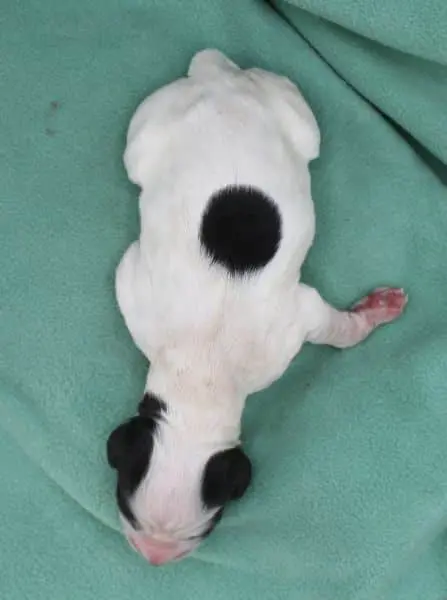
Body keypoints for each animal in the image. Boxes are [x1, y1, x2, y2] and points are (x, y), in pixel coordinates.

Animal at [107, 49, 407, 565]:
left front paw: (373, 312)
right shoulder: (132, 285)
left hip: (282, 116)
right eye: (129, 512)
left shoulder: (296, 322)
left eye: (203, 531)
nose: (155, 557)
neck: (201, 372)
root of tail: (218, 85)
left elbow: (338, 329)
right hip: (150, 133)